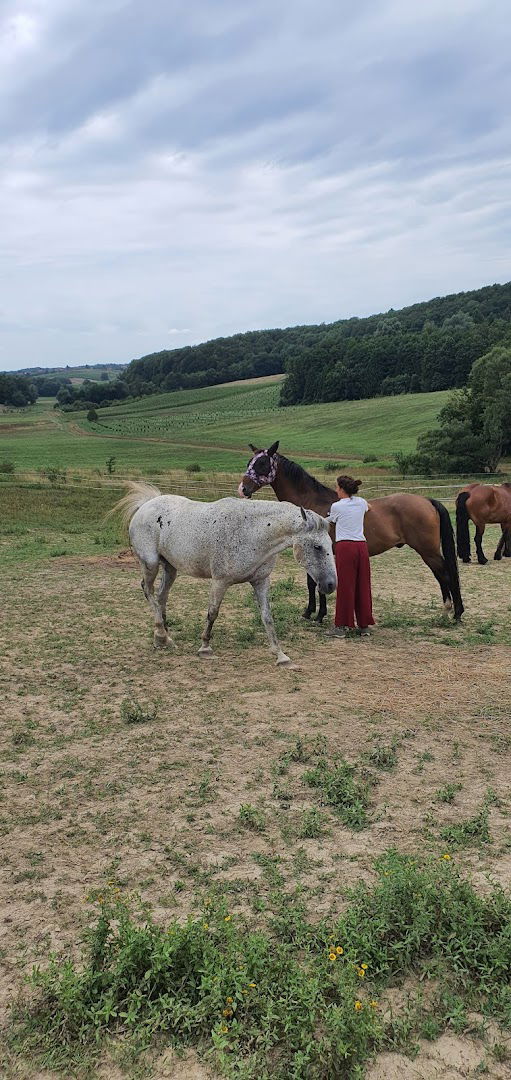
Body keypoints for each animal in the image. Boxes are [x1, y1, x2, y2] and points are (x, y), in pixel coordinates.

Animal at [109, 482, 336, 665]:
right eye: (317, 547)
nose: (331, 585)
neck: (251, 532)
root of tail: (147, 504)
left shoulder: (261, 581)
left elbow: (267, 617)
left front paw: (281, 655)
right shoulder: (220, 582)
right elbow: (212, 613)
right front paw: (205, 648)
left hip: (170, 568)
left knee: (161, 596)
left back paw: (164, 634)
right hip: (150, 563)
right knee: (148, 591)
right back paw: (161, 635)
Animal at [238, 441, 464, 622]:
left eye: (262, 463)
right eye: (249, 461)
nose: (242, 489)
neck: (311, 504)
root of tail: (427, 500)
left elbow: (317, 584)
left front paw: (319, 615)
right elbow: (311, 583)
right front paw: (310, 612)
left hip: (428, 551)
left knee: (445, 574)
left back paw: (452, 612)